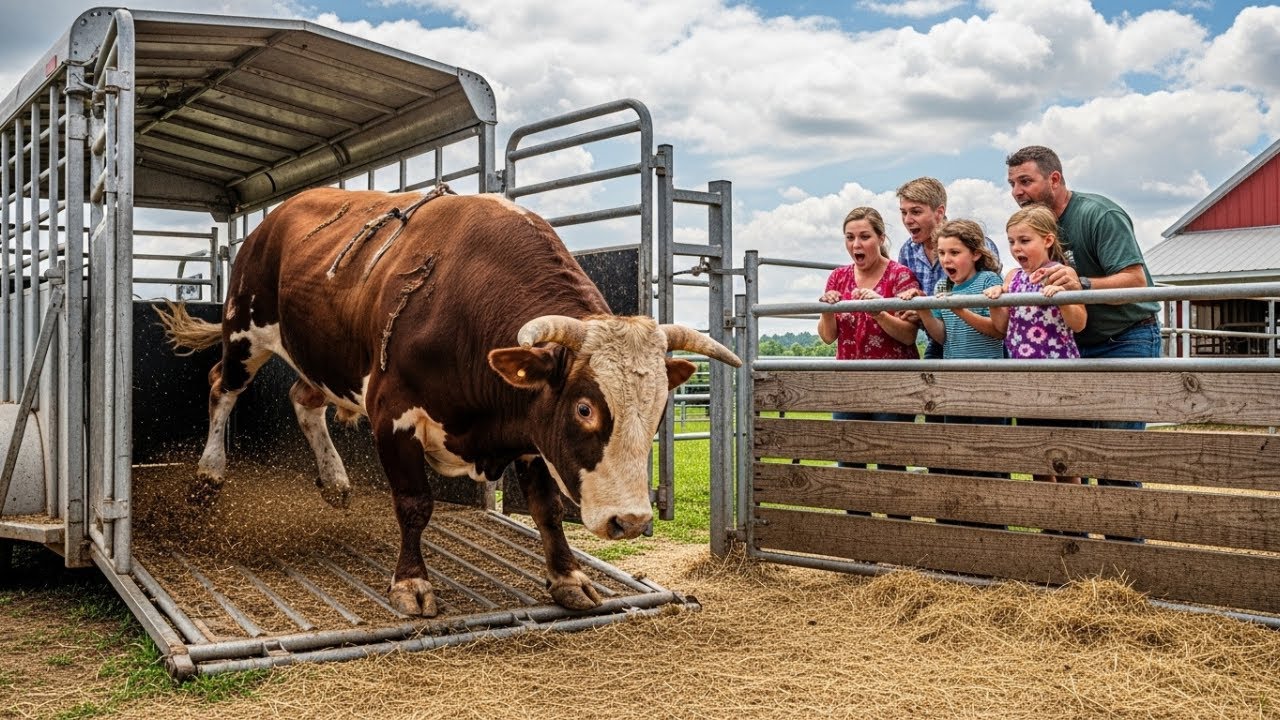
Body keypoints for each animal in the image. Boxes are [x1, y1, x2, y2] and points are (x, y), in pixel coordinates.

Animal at [157, 186, 741, 617]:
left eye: (661, 407)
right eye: (584, 408)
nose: (632, 521)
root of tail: (270, 222)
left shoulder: (527, 428)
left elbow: (547, 509)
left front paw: (568, 576)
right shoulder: (392, 414)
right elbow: (415, 504)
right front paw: (411, 583)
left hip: (324, 360)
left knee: (304, 399)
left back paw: (336, 481)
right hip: (244, 331)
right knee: (222, 386)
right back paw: (209, 474)